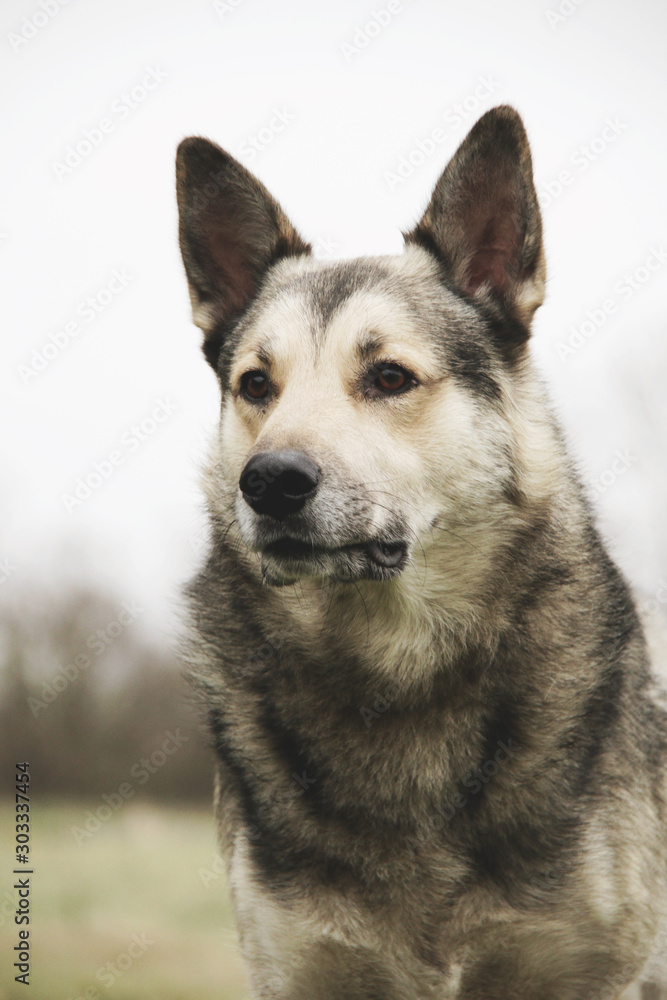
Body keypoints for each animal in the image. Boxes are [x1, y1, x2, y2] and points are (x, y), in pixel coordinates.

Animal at [176, 105, 667, 996]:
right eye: (256, 385)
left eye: (389, 378)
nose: (268, 482)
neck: (396, 673)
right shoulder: (297, 969)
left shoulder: (589, 973)